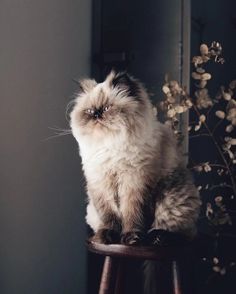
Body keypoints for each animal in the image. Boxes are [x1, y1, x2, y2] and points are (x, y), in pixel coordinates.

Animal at [69, 70, 201, 245]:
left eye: (107, 108)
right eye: (89, 111)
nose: (97, 115)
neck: (110, 145)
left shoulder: (135, 183)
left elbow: (133, 215)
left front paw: (132, 238)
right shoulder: (101, 185)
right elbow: (109, 217)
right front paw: (105, 237)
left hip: (173, 200)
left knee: (180, 233)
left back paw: (157, 238)